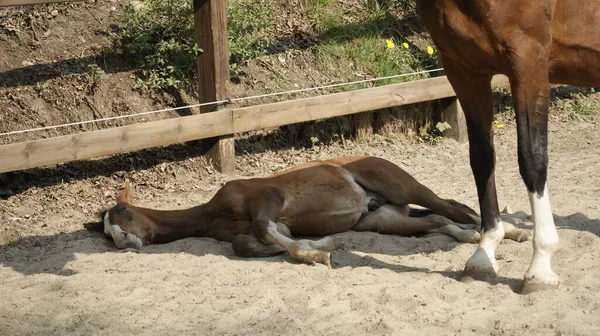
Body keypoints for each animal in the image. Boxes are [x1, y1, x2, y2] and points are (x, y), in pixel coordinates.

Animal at [414, 0, 600, 292]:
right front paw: (484, 255)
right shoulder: (465, 70)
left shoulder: (528, 61)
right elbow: (482, 159)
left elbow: (532, 158)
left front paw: (540, 268)